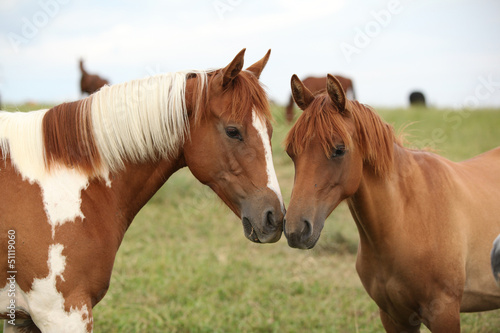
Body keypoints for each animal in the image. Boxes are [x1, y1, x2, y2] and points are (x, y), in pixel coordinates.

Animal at [0, 49, 286, 332]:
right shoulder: (63, 312)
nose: (275, 217)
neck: (67, 183)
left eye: (270, 131)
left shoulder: (25, 317)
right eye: (233, 131)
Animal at [286, 74, 500, 330]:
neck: (407, 218)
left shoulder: (444, 315)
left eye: (339, 150)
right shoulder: (394, 317)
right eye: (291, 152)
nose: (296, 230)